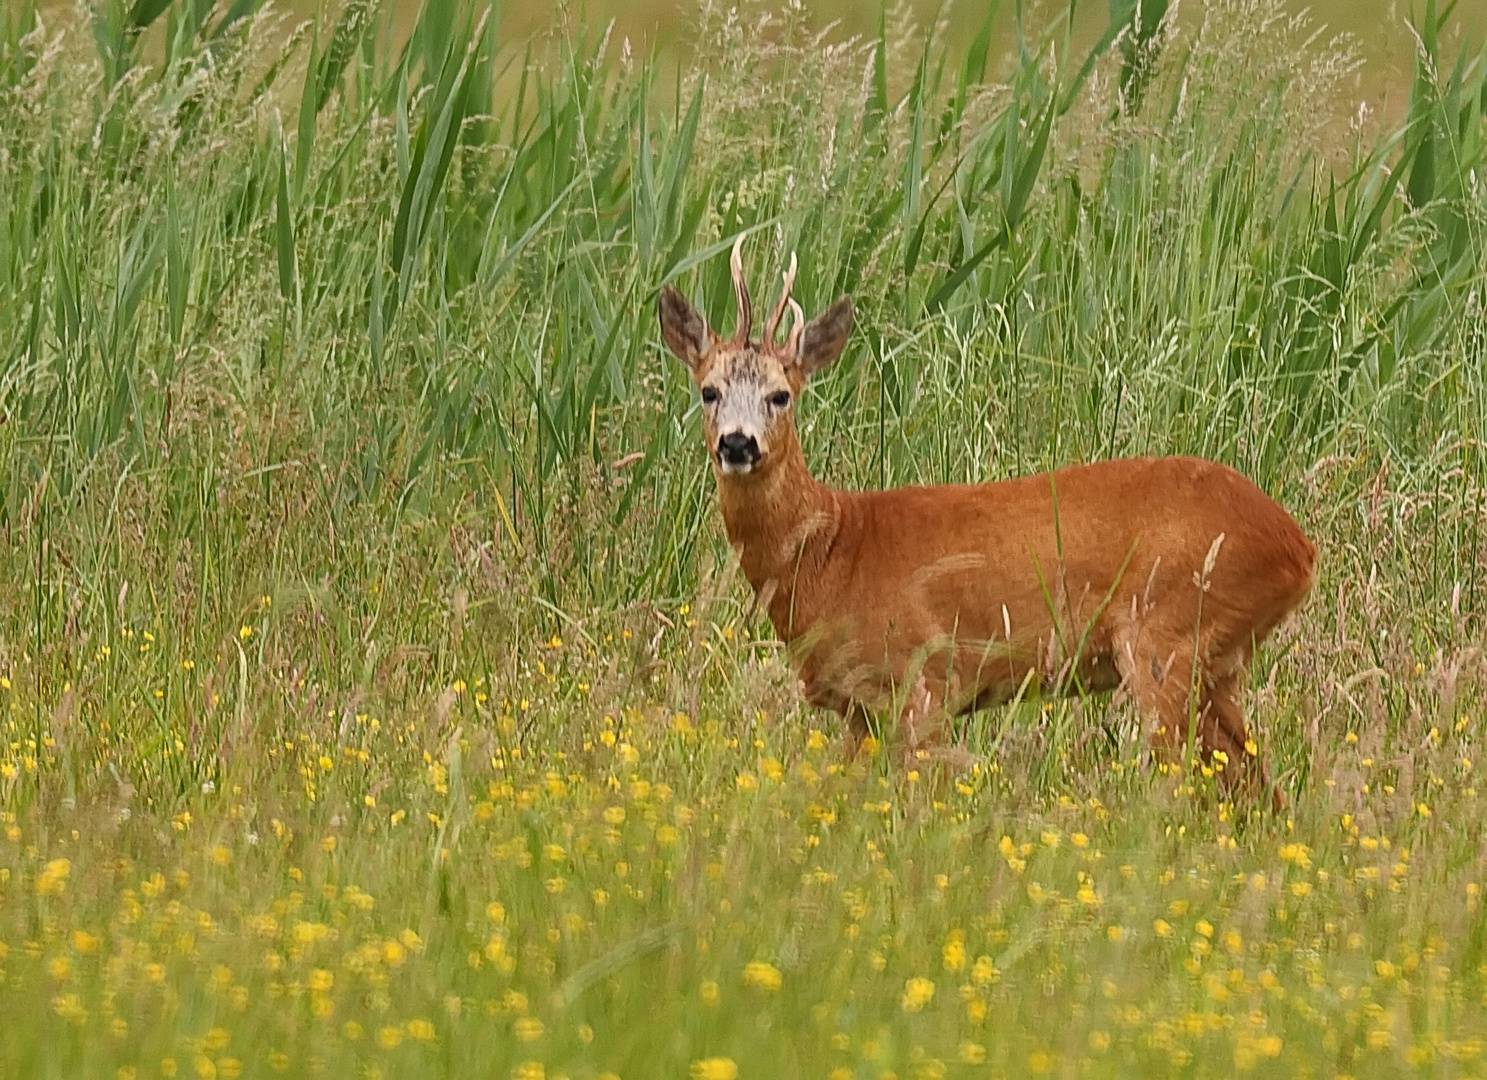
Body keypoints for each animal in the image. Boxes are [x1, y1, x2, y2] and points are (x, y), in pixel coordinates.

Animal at [660, 240, 1314, 809]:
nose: (737, 444)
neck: (832, 550)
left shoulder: (921, 682)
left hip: (1168, 640)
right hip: (1216, 664)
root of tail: (1299, 548)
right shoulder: (860, 712)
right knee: (1260, 788)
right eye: (708, 391)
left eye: (780, 395)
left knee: (1184, 783)